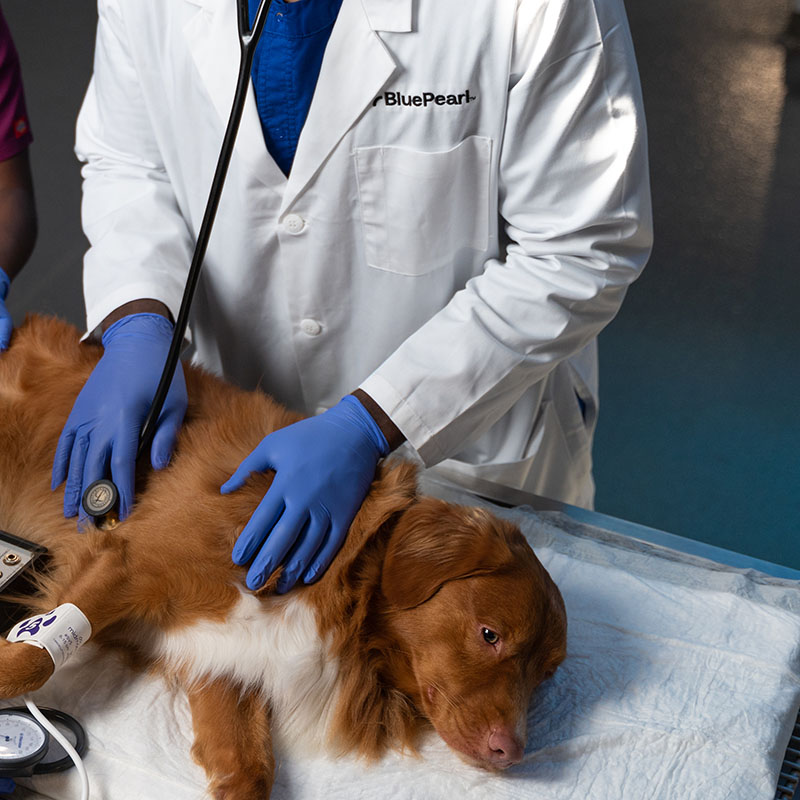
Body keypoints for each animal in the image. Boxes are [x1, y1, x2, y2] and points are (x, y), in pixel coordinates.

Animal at [0, 318, 568, 800]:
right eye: (489, 635)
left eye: (545, 675)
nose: (511, 752)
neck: (347, 566)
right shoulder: (129, 561)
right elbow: (33, 660)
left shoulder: (225, 654)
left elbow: (251, 768)